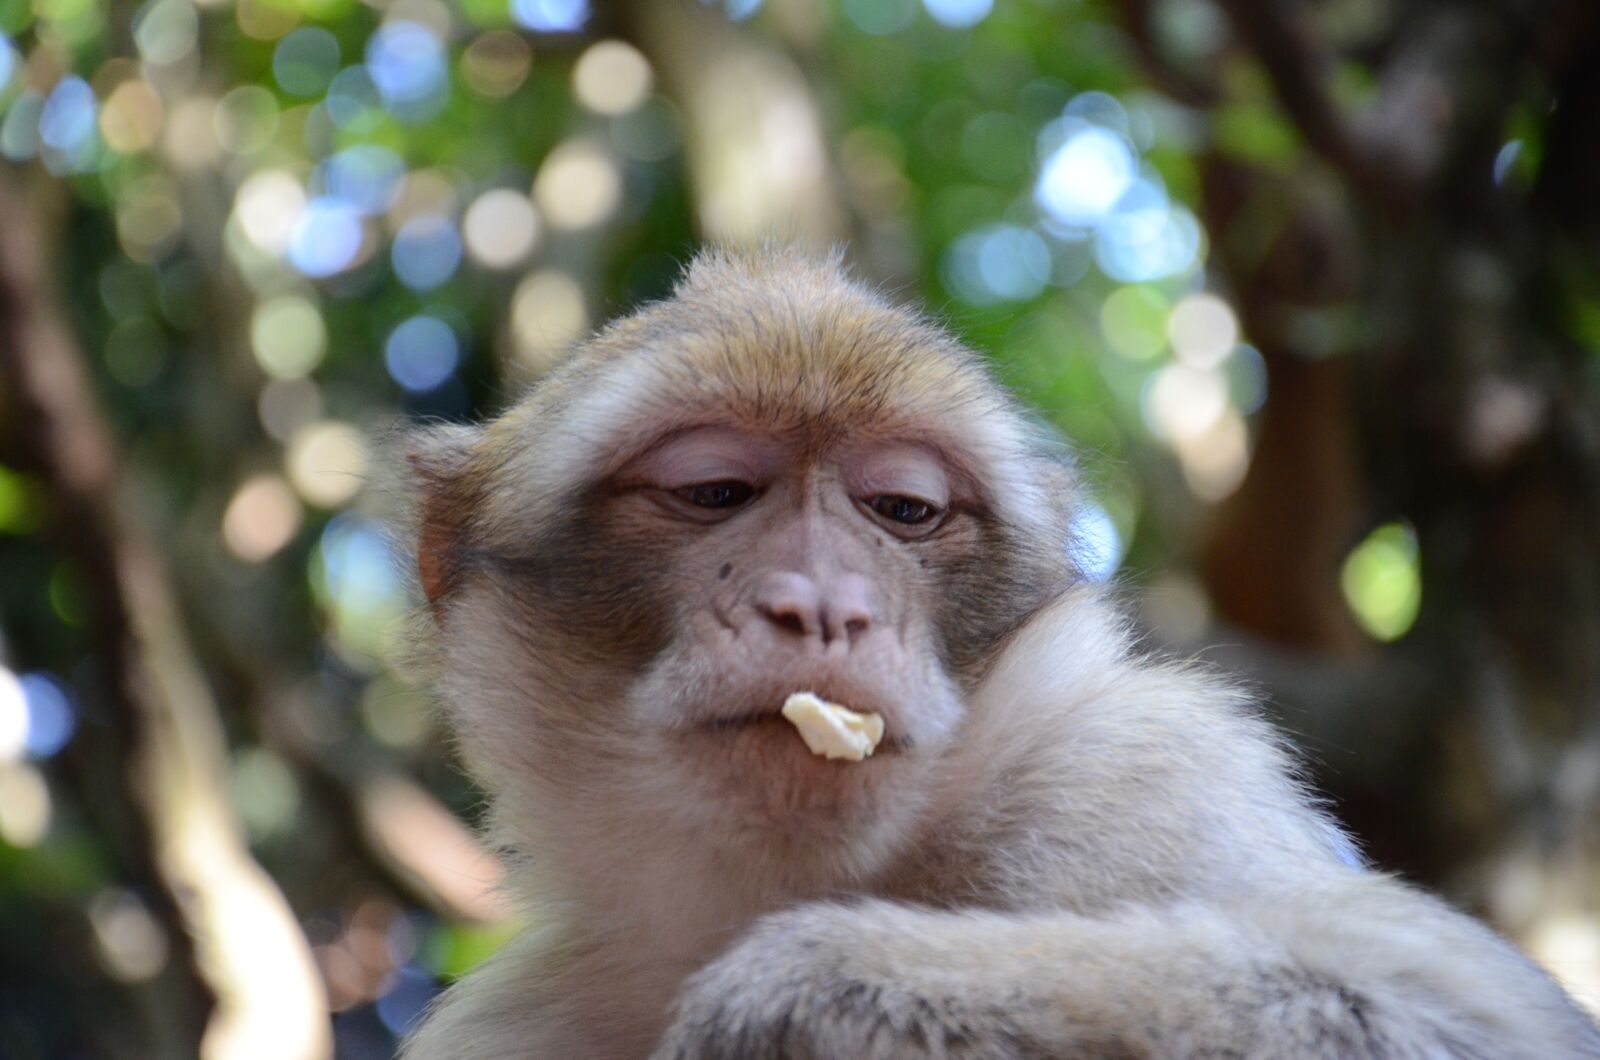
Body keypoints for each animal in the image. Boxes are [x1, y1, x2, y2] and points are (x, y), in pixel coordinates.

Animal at [398, 247, 1600, 1059]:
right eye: (713, 492)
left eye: (902, 509)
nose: (824, 606)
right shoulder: (517, 1021)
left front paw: (796, 990)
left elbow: (1431, 1003)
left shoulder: (1141, 771)